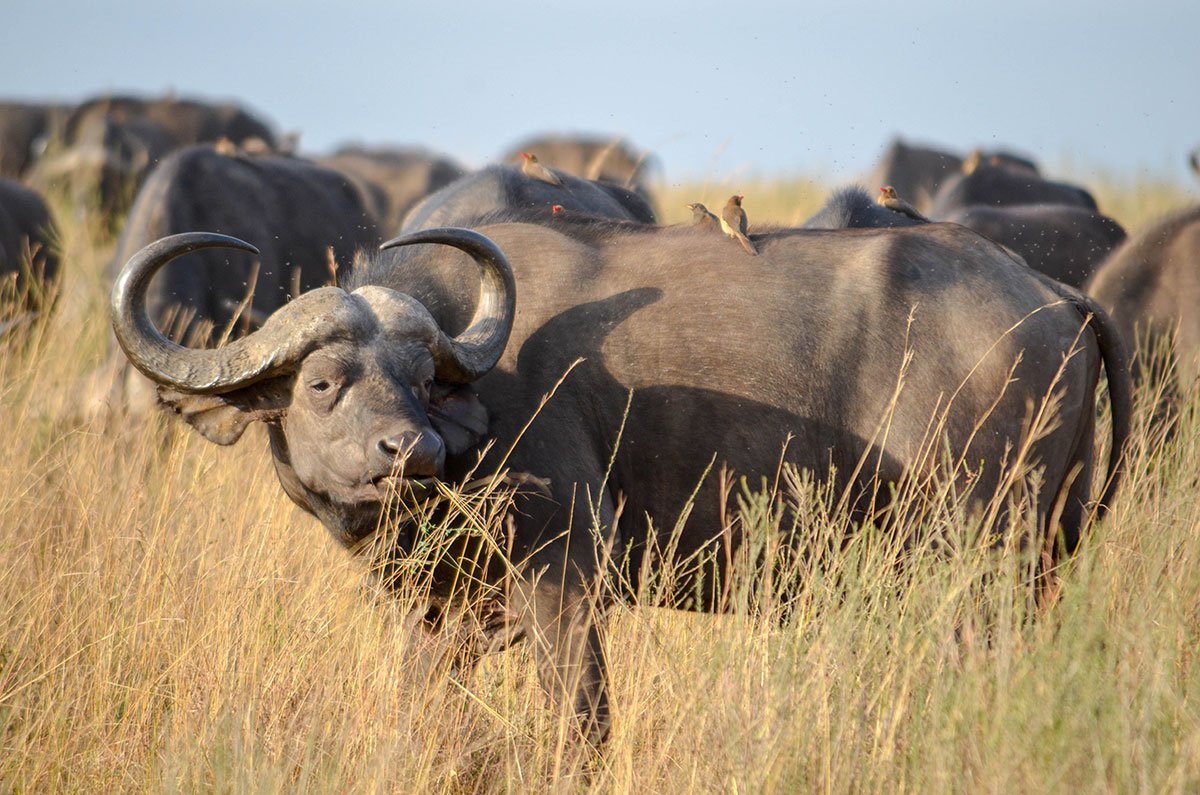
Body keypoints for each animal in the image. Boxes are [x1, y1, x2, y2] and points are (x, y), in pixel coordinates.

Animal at [112, 216, 1132, 739]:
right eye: (324, 383)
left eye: (421, 380)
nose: (414, 454)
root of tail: (1057, 295)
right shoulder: (436, 612)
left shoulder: (566, 583)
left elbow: (580, 727)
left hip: (979, 560)